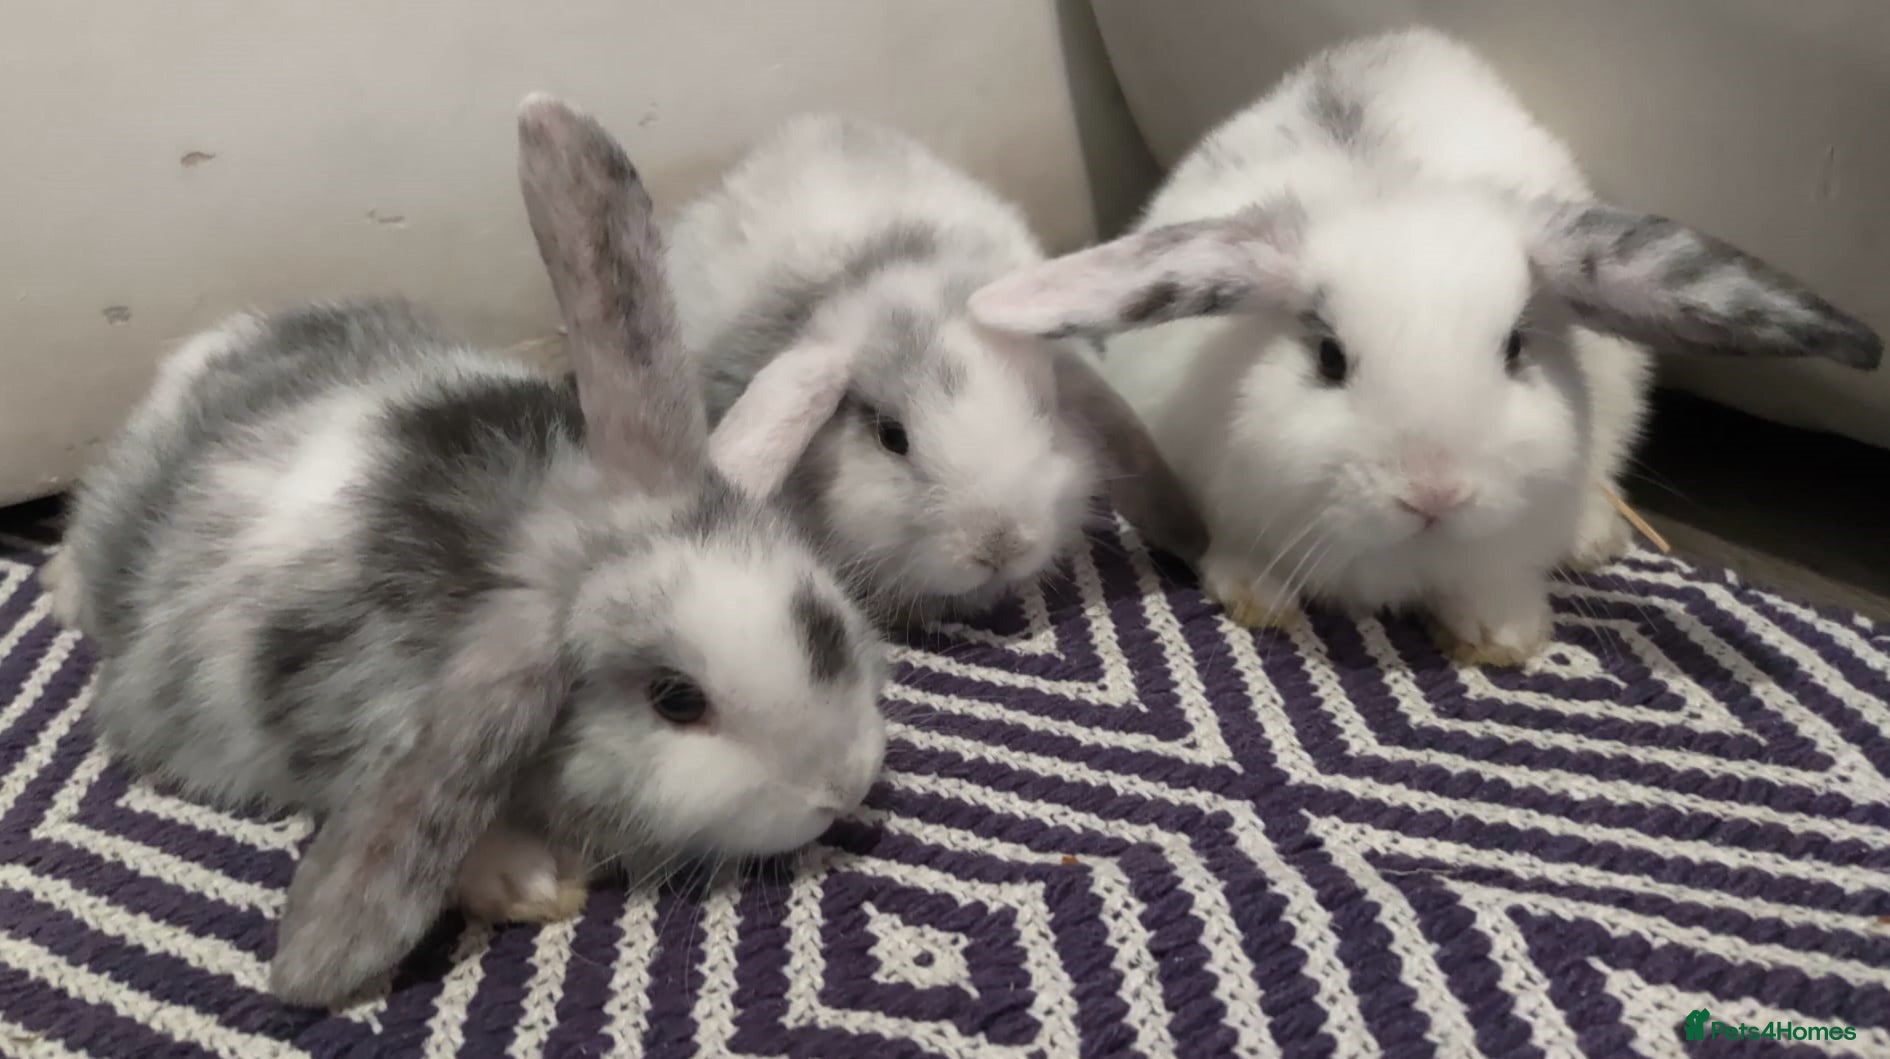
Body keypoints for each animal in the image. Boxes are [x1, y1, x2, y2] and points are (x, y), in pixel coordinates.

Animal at [48, 95, 888, 1007]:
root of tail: (208, 351)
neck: (530, 525)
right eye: (676, 700)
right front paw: (529, 881)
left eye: (822, 622)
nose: (843, 786)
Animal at [967, 27, 1881, 666]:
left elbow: (1495, 579)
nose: (1434, 494)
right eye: (1329, 358)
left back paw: (1595, 539)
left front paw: (1504, 633)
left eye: (1515, 349)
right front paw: (1258, 597)